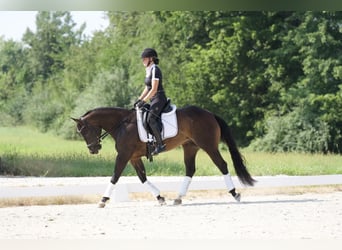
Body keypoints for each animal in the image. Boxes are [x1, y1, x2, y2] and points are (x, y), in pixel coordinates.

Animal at [71, 105, 254, 207]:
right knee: (190, 170)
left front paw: (103, 200)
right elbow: (142, 177)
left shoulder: (124, 155)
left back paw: (235, 193)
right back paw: (178, 198)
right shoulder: (133, 157)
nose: (93, 149)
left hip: (208, 145)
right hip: (190, 147)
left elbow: (115, 176)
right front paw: (160, 198)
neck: (121, 124)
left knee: (222, 165)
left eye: (85, 131)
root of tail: (210, 114)